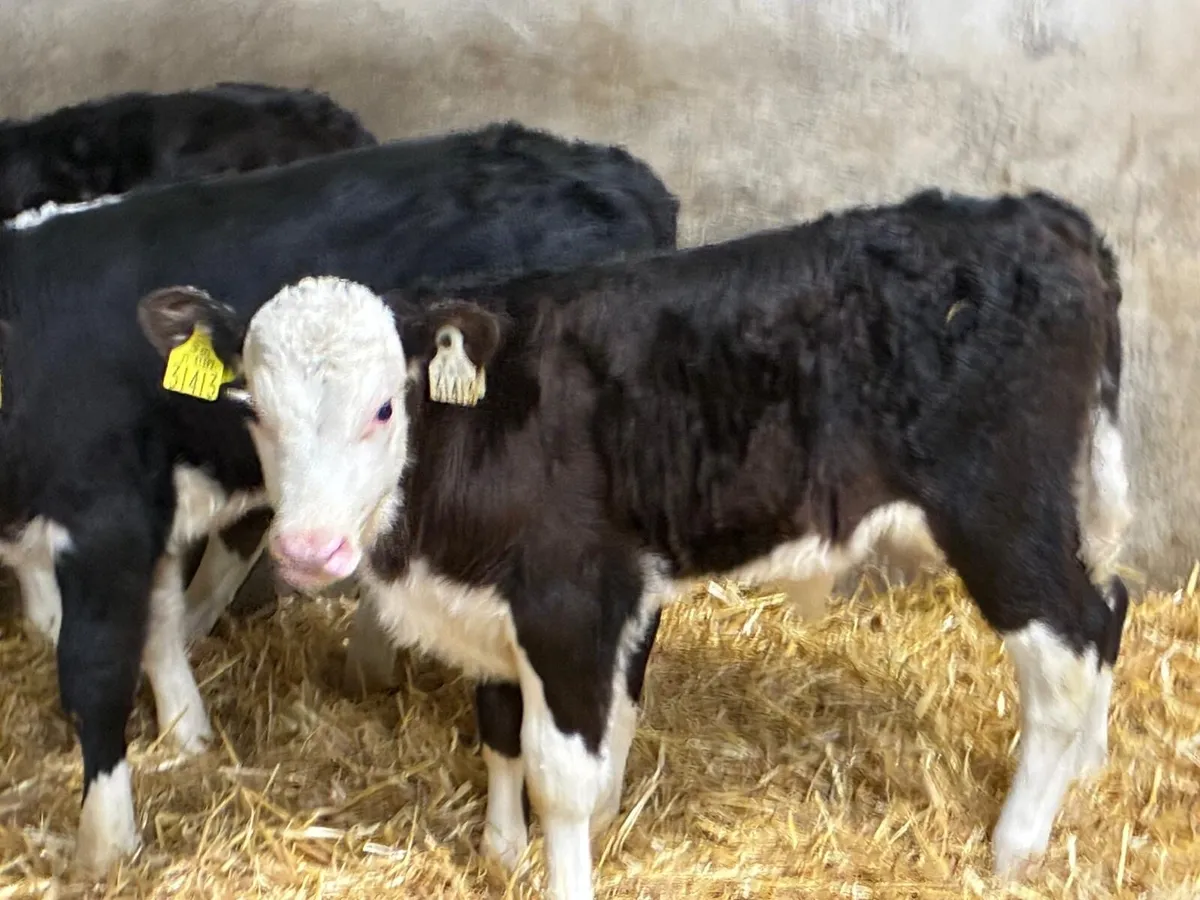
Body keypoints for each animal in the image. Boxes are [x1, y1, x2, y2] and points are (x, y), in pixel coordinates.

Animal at [0, 120, 679, 875]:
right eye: (251, 408)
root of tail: (615, 168)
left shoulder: (104, 517)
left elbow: (95, 668)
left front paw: (106, 841)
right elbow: (158, 620)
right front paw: (187, 731)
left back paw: (605, 792)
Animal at [146, 187, 1134, 899]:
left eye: (385, 407)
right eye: (252, 410)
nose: (308, 551)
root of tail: (1040, 216)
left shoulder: (570, 598)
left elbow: (560, 773)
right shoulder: (495, 601)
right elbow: (498, 730)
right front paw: (501, 852)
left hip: (998, 509)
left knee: (1068, 647)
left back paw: (1016, 843)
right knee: (1109, 602)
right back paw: (1090, 770)